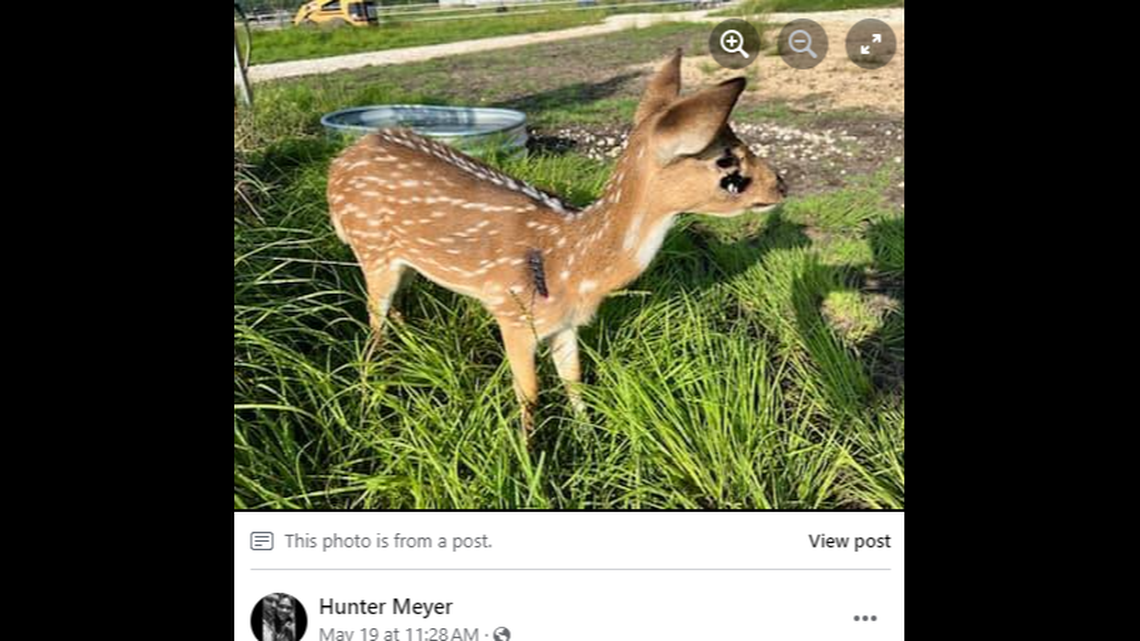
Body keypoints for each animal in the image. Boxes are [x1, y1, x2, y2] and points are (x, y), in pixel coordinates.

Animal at [327, 49, 787, 433]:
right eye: (726, 161)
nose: (781, 184)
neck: (574, 263)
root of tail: (339, 164)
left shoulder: (565, 325)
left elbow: (575, 381)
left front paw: (587, 437)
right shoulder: (513, 315)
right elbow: (529, 395)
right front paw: (530, 458)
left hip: (399, 259)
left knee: (392, 308)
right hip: (371, 247)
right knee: (373, 318)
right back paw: (370, 388)